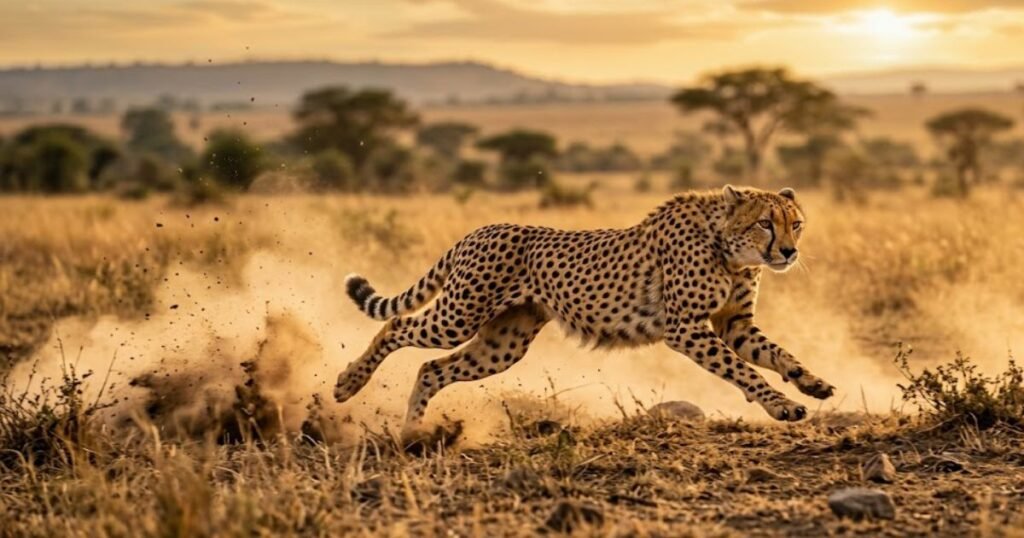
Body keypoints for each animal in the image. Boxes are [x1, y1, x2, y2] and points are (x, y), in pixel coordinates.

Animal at [334, 185, 836, 440]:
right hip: (460, 314)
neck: (730, 249)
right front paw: (782, 405)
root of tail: (481, 229)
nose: (789, 252)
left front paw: (813, 384)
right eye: (765, 223)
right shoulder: (686, 329)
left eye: (797, 223)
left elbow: (779, 355)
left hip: (503, 343)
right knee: (398, 325)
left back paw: (414, 433)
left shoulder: (734, 325)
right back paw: (348, 383)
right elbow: (743, 371)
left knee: (431, 369)